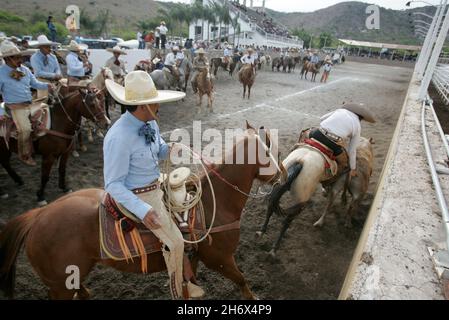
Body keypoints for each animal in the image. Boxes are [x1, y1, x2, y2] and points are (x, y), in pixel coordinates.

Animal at [0, 123, 286, 300]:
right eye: (273, 151)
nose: (283, 172)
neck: (215, 202)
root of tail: (37, 217)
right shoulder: (221, 259)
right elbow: (242, 280)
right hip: (60, 285)